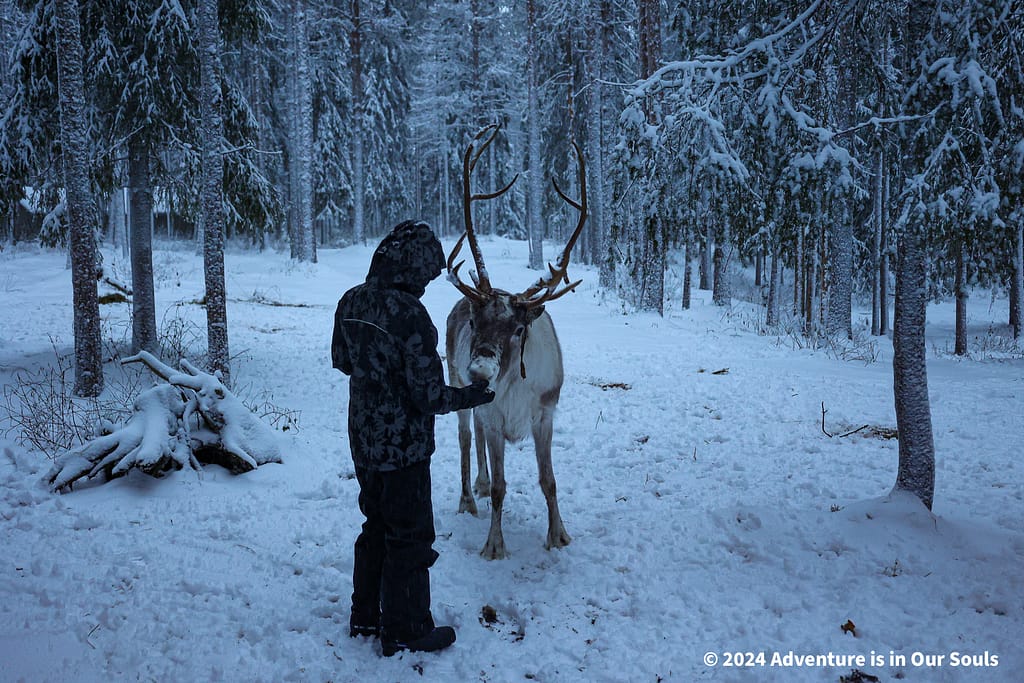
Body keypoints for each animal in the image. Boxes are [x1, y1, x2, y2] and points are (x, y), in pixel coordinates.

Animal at [445, 125, 586, 560]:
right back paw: (468, 498)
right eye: (476, 321)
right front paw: (494, 544)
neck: (514, 386)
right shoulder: (494, 417)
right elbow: (502, 487)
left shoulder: (545, 415)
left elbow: (549, 481)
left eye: (518, 330)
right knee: (464, 438)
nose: (480, 372)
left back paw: (478, 484)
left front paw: (559, 535)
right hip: (453, 380)